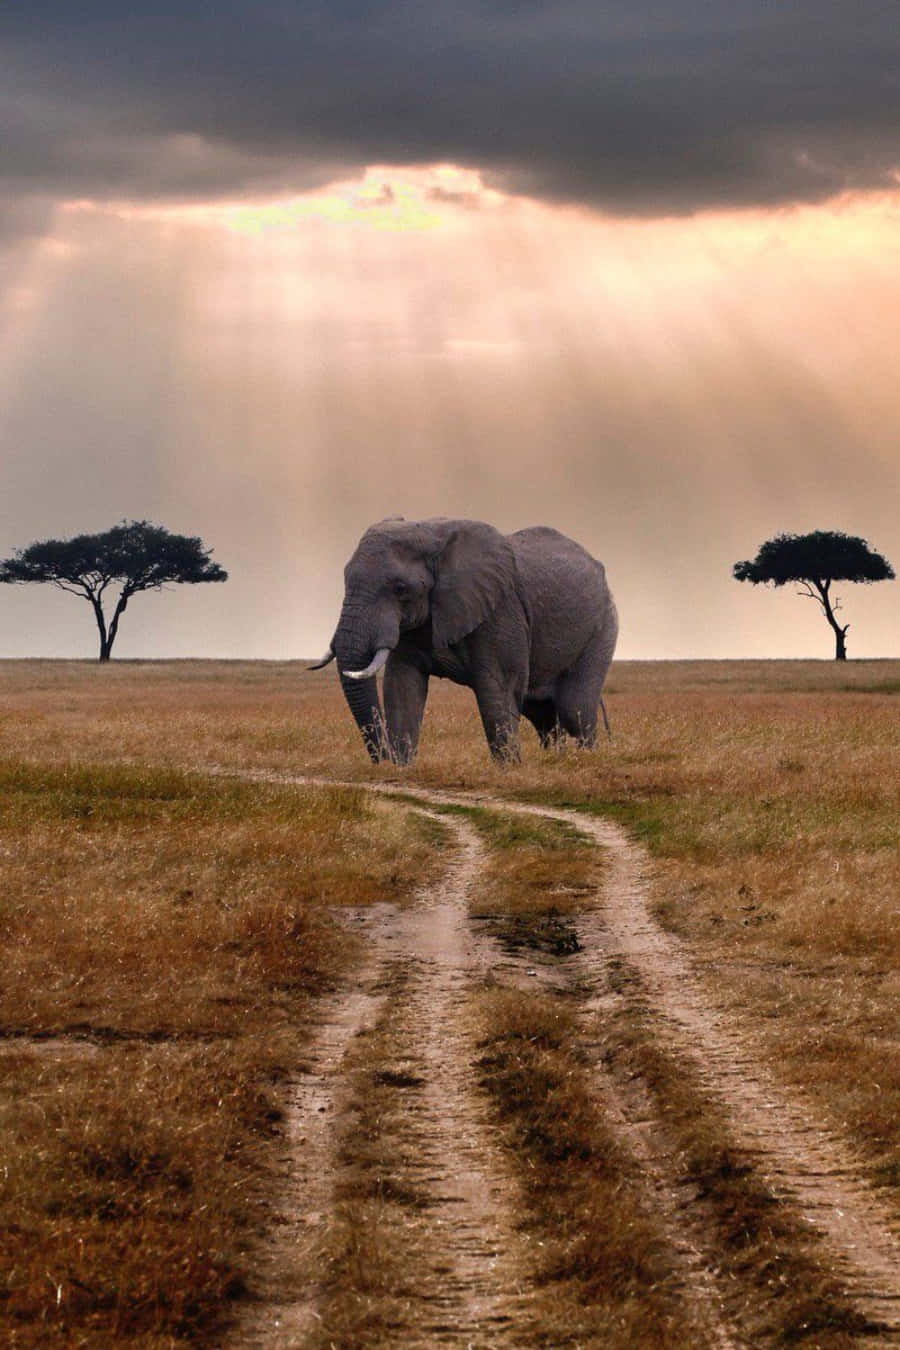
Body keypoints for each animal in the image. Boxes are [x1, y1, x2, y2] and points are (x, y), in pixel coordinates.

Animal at [310, 517, 618, 764]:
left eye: (400, 588)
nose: (383, 760)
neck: (432, 534)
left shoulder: (500, 610)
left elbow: (497, 690)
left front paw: (509, 771)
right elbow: (401, 687)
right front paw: (402, 768)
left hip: (602, 627)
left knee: (574, 708)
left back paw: (585, 761)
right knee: (542, 714)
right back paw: (556, 761)